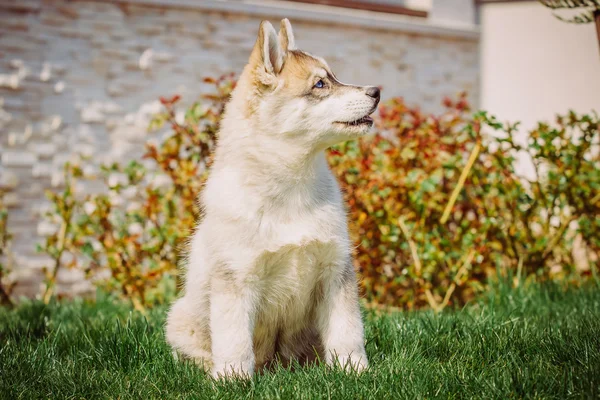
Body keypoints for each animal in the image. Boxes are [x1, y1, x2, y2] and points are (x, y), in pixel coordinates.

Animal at [164, 17, 380, 378]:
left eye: (333, 77)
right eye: (320, 84)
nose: (376, 91)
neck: (293, 186)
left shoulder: (336, 270)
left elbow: (348, 329)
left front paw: (354, 369)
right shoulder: (236, 278)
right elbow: (234, 338)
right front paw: (233, 378)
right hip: (178, 318)